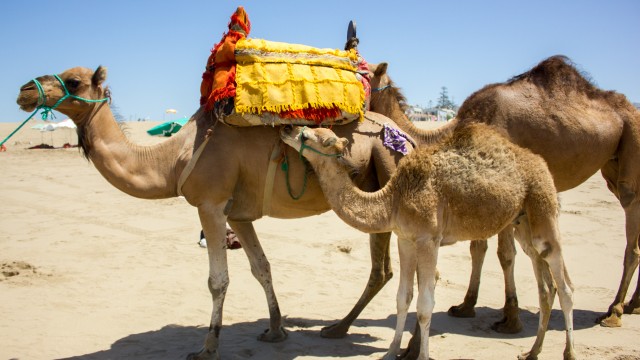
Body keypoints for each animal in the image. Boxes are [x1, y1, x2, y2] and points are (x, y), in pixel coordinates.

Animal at [16, 66, 416, 358]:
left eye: (73, 81)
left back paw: (372, 337)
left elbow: (217, 281)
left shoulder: (210, 206)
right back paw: (340, 328)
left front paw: (207, 348)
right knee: (383, 270)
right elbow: (262, 268)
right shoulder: (238, 215)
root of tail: (409, 139)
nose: (23, 91)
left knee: (394, 267)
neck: (172, 160)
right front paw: (275, 330)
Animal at [280, 122, 576, 358]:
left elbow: (424, 306)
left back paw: (569, 353)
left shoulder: (427, 239)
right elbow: (403, 298)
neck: (393, 200)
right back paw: (532, 352)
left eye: (310, 136)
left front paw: (420, 355)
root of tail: (542, 165)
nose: (287, 128)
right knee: (545, 286)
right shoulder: (405, 239)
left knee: (565, 287)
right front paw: (390, 352)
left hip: (544, 209)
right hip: (522, 223)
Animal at [364, 55, 640, 334]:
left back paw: (614, 311)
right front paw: (466, 306)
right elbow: (478, 247)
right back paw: (632, 305)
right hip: (611, 165)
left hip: (632, 144)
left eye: (362, 69)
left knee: (631, 218)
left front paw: (511, 318)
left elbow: (505, 255)